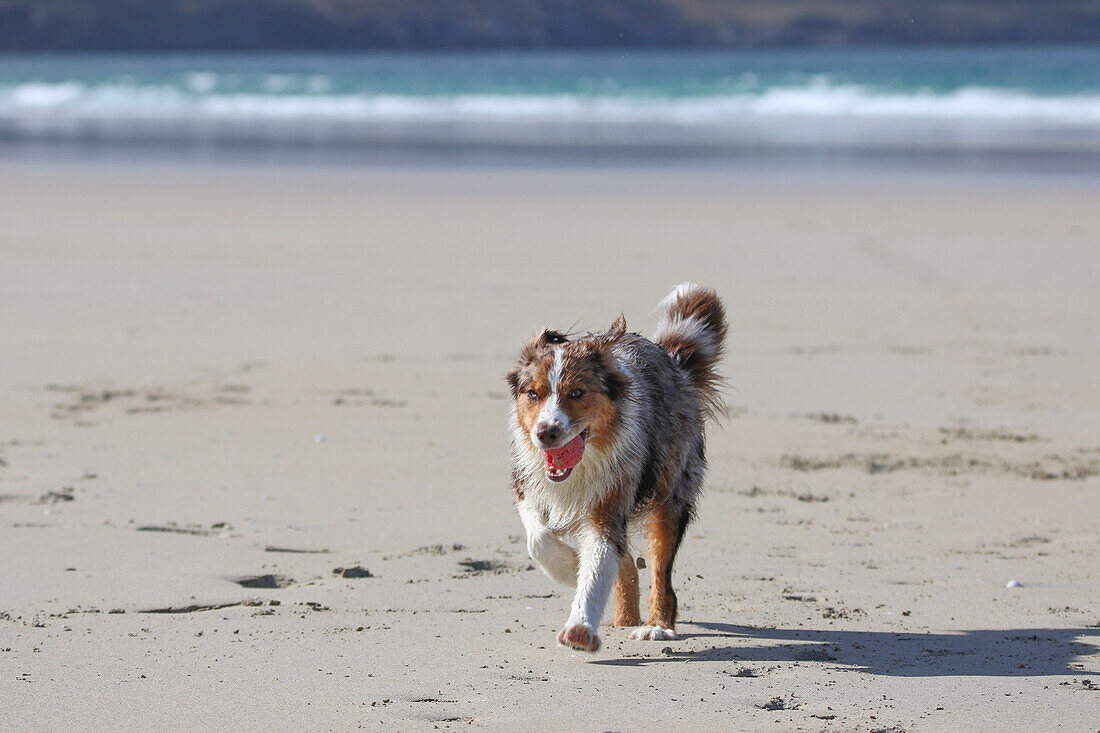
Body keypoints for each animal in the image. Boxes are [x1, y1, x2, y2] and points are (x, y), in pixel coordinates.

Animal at [508, 280, 730, 651]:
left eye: (577, 393)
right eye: (533, 394)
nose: (546, 433)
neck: (583, 464)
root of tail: (673, 362)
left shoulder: (612, 495)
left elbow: (599, 562)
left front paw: (580, 629)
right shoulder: (528, 484)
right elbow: (538, 540)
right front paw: (569, 567)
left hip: (670, 492)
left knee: (661, 572)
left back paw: (656, 625)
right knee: (626, 563)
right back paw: (625, 618)